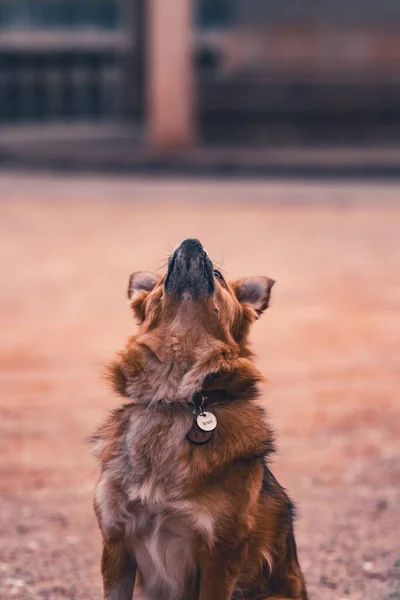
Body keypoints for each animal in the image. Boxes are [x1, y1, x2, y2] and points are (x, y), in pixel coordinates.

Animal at [92, 237, 308, 596]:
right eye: (161, 278)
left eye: (218, 276)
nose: (191, 241)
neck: (176, 401)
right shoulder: (116, 543)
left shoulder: (220, 556)